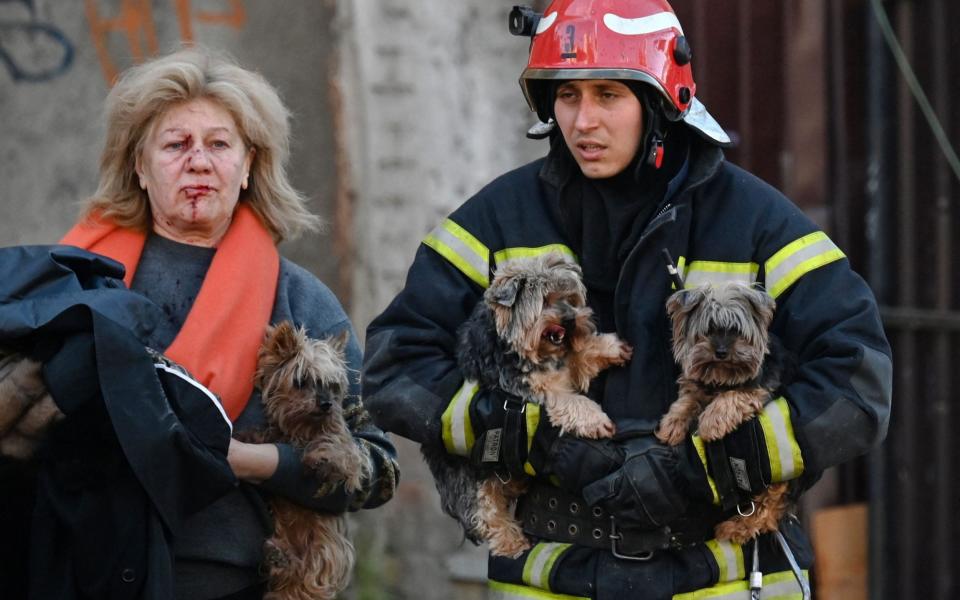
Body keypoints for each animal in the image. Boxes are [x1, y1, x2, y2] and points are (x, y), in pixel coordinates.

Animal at [244, 324, 368, 600]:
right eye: (301, 382)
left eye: (333, 386)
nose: (326, 404)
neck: (302, 429)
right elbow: (264, 435)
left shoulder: (347, 448)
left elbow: (343, 452)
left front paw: (322, 457)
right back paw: (277, 558)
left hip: (326, 548)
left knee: (310, 567)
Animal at [424, 252, 632, 556]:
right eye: (544, 301)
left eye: (569, 299)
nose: (570, 320)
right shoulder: (528, 388)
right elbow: (569, 399)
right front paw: (595, 421)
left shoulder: (561, 362)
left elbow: (576, 355)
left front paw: (607, 348)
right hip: (470, 476)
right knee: (486, 511)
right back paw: (511, 542)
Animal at [656, 282, 792, 544]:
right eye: (707, 331)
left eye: (736, 331)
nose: (720, 351)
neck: (721, 376)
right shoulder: (697, 385)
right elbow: (687, 400)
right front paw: (672, 425)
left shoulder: (756, 389)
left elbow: (731, 398)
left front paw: (710, 423)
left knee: (769, 504)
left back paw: (736, 527)